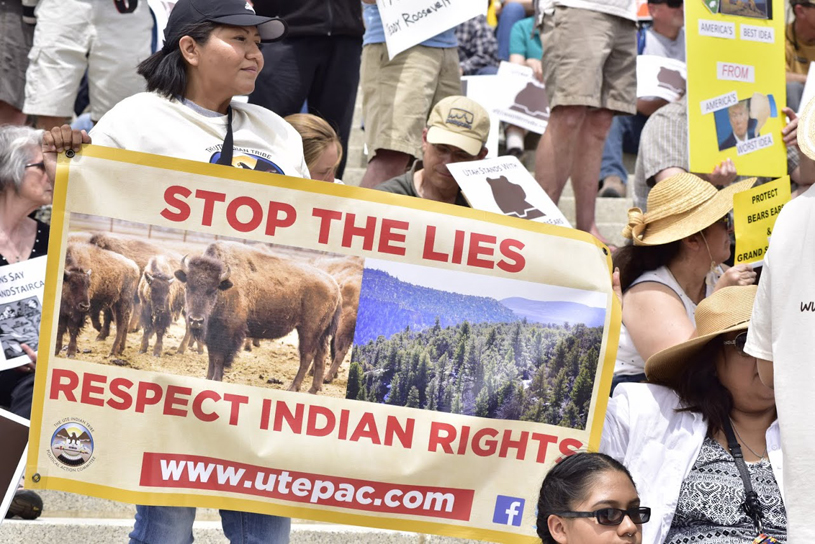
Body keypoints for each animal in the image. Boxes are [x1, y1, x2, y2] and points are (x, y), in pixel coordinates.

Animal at [175, 241, 342, 392]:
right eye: (188, 286)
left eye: (213, 290)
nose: (196, 320)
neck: (225, 288)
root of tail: (335, 286)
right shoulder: (212, 334)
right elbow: (211, 357)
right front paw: (208, 378)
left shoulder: (228, 333)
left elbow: (219, 359)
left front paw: (216, 379)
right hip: (320, 333)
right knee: (321, 355)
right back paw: (314, 389)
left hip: (308, 330)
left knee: (307, 356)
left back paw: (293, 387)